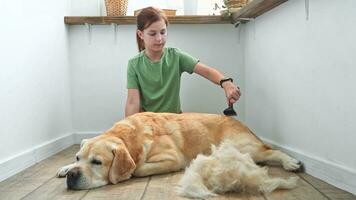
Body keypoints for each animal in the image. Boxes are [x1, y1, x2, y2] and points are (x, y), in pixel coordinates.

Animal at [56, 111, 300, 190]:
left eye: (97, 162)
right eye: (78, 157)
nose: (72, 176)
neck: (131, 134)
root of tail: (241, 123)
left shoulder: (173, 158)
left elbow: (138, 169)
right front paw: (65, 167)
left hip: (242, 147)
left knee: (271, 151)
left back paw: (291, 162)